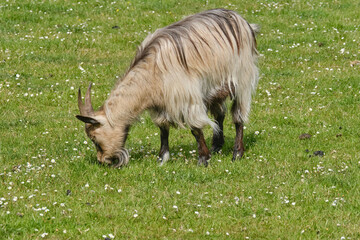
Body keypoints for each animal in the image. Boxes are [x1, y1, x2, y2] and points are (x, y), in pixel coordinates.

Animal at [77, 8, 260, 167]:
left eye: (94, 138)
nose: (103, 161)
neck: (151, 73)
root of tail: (242, 21)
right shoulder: (161, 105)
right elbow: (163, 129)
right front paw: (162, 158)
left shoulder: (187, 98)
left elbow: (195, 129)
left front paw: (203, 159)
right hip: (215, 87)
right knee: (219, 114)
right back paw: (217, 145)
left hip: (242, 79)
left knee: (238, 116)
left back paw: (237, 153)